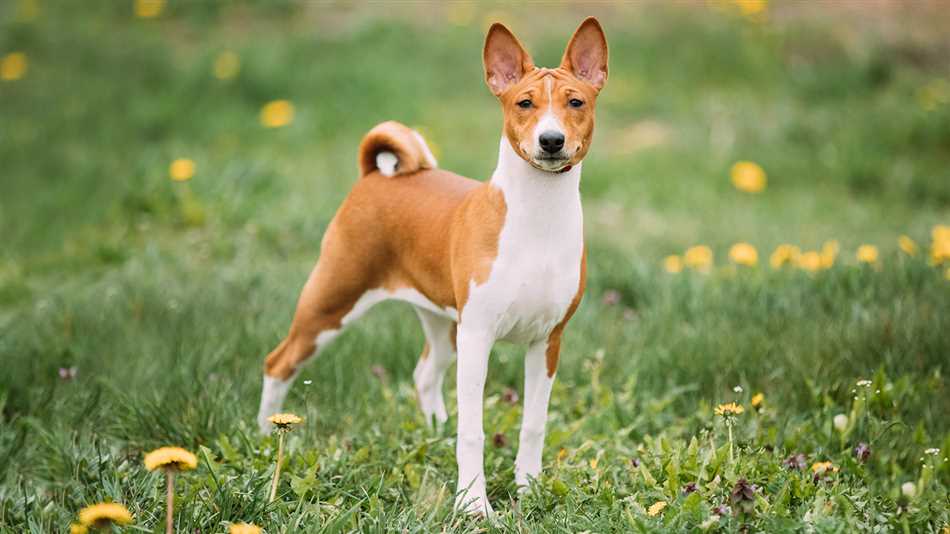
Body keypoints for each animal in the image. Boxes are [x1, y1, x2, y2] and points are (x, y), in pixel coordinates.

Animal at [255, 18, 608, 516]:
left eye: (575, 102)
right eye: (524, 103)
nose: (551, 140)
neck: (537, 218)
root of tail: (376, 176)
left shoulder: (547, 341)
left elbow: (533, 425)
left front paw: (529, 489)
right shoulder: (479, 335)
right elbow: (473, 431)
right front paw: (474, 505)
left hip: (443, 323)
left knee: (424, 374)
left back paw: (435, 430)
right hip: (331, 302)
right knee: (278, 362)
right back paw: (266, 437)